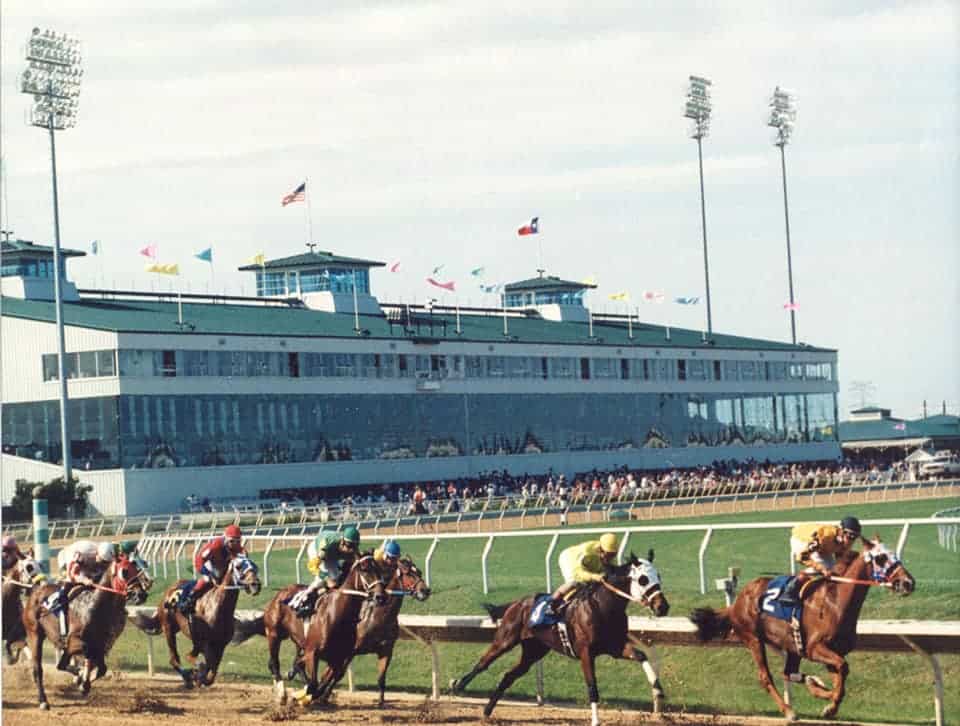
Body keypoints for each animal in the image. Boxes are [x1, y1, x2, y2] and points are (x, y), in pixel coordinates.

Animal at [22, 556, 152, 712]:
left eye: (137, 570)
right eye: (124, 572)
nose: (141, 594)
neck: (96, 606)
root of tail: (35, 591)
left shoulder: (101, 644)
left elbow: (101, 668)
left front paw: (84, 683)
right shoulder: (75, 641)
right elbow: (79, 657)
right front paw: (81, 680)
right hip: (34, 634)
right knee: (39, 669)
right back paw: (43, 701)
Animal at [131, 556, 260, 692]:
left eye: (255, 566)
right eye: (238, 567)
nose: (255, 585)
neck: (218, 607)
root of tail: (168, 592)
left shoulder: (220, 645)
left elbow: (212, 670)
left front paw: (200, 677)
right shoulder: (204, 642)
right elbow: (203, 663)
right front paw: (196, 674)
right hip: (169, 629)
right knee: (174, 659)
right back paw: (188, 677)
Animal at [294, 556, 384, 708]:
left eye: (379, 569)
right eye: (364, 570)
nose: (381, 596)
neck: (336, 614)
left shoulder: (338, 656)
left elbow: (328, 679)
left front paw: (314, 697)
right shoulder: (312, 652)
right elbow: (314, 684)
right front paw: (301, 696)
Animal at [450, 552, 668, 726]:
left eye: (659, 576)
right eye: (642, 579)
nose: (663, 607)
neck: (603, 606)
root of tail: (517, 603)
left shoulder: (614, 647)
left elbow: (640, 655)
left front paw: (658, 690)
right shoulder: (586, 653)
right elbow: (592, 687)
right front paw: (595, 720)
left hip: (534, 652)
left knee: (508, 676)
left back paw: (487, 712)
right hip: (505, 640)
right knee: (483, 663)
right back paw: (458, 686)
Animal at [688, 540, 916, 724]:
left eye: (895, 554)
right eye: (880, 557)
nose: (908, 583)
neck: (835, 602)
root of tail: (737, 601)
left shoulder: (833, 651)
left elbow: (840, 675)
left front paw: (828, 700)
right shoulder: (814, 648)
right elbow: (843, 668)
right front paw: (830, 706)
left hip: (791, 646)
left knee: (788, 672)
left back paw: (813, 685)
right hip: (753, 639)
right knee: (766, 677)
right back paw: (789, 711)